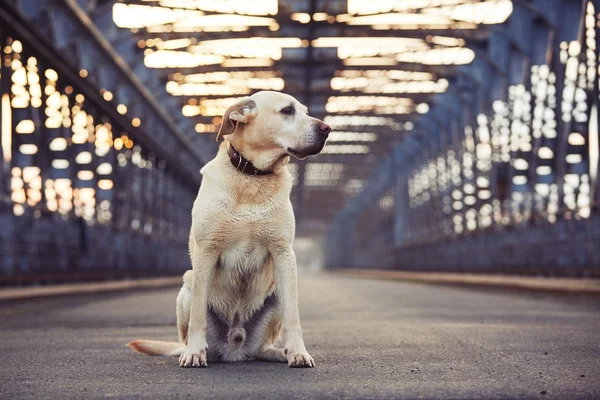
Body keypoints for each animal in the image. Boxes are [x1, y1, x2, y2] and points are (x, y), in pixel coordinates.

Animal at [128, 90, 330, 368]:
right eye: (287, 111)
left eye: (306, 111)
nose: (327, 129)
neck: (253, 177)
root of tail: (234, 349)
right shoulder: (207, 252)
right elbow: (198, 316)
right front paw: (194, 353)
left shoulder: (284, 254)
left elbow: (294, 316)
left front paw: (299, 352)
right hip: (186, 287)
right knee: (193, 332)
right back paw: (192, 350)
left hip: (274, 295)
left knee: (262, 348)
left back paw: (281, 353)